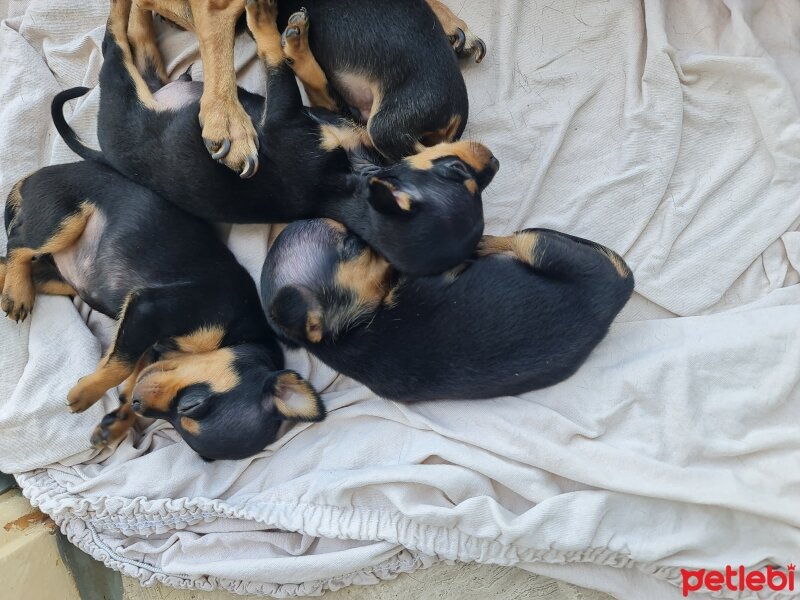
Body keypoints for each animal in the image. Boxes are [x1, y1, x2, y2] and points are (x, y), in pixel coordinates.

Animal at [3, 159, 322, 460]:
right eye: (192, 405)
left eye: (180, 423)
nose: (140, 404)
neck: (237, 337)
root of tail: (34, 176)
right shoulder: (150, 309)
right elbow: (121, 366)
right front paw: (86, 392)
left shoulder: (142, 332)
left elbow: (125, 367)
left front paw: (115, 423)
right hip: (62, 222)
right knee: (18, 244)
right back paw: (17, 292)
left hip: (58, 279)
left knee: (9, 264)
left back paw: (13, 286)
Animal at [260, 218, 636, 400]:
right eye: (352, 245)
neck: (343, 334)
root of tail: (618, 295)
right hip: (546, 247)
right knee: (523, 237)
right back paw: (486, 241)